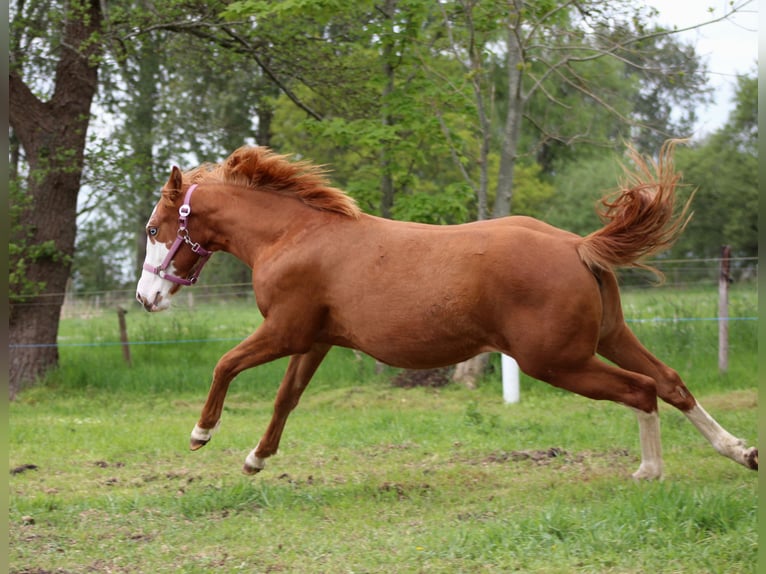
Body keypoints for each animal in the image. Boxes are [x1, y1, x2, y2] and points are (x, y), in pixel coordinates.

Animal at [136, 141, 758, 479]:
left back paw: (650, 470)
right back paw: (740, 451)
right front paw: (256, 459)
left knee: (641, 390)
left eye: (153, 228)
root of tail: (577, 246)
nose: (146, 298)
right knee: (670, 383)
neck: (293, 236)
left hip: (556, 361)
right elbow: (286, 399)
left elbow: (225, 364)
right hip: (608, 338)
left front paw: (201, 433)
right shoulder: (316, 340)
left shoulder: (285, 330)